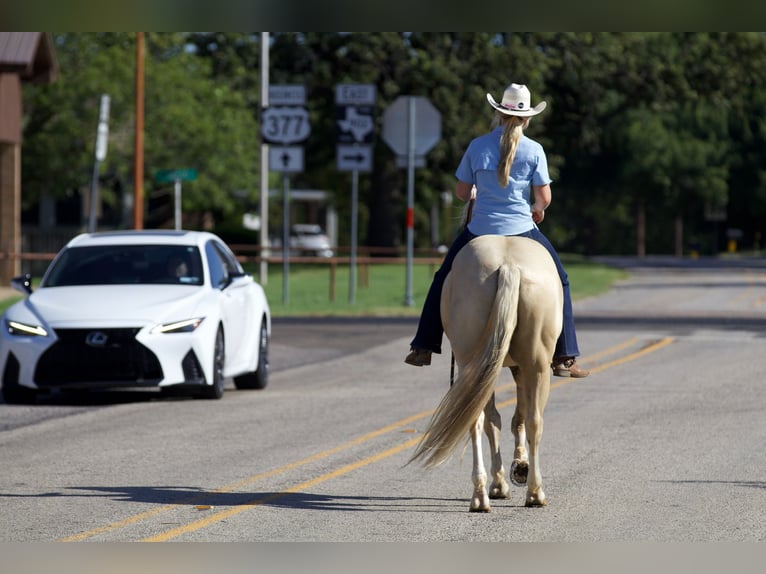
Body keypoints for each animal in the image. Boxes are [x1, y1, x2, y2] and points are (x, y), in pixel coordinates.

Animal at [408, 236, 564, 516]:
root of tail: (508, 266)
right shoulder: (517, 367)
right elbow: (514, 418)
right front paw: (514, 471)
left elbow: (501, 420)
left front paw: (509, 474)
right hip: (536, 365)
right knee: (534, 421)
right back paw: (533, 492)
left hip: (475, 363)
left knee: (476, 418)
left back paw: (481, 496)